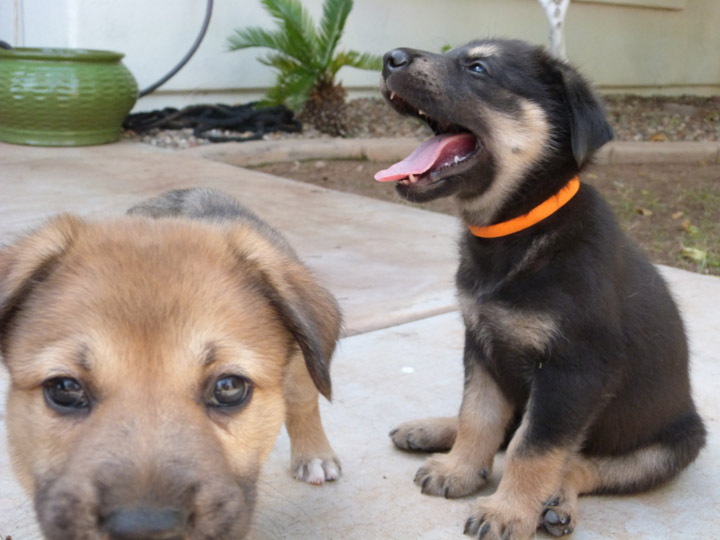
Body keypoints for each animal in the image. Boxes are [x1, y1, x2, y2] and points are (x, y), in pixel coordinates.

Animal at [0, 189, 342, 540]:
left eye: (229, 388)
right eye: (65, 389)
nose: (142, 528)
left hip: (301, 369)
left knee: (304, 404)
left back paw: (314, 455)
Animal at [380, 39, 704, 540]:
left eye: (478, 68)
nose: (389, 58)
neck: (519, 231)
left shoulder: (573, 371)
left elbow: (534, 448)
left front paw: (508, 511)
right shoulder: (482, 346)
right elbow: (478, 417)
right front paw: (459, 470)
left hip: (669, 446)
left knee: (581, 466)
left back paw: (555, 504)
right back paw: (432, 430)